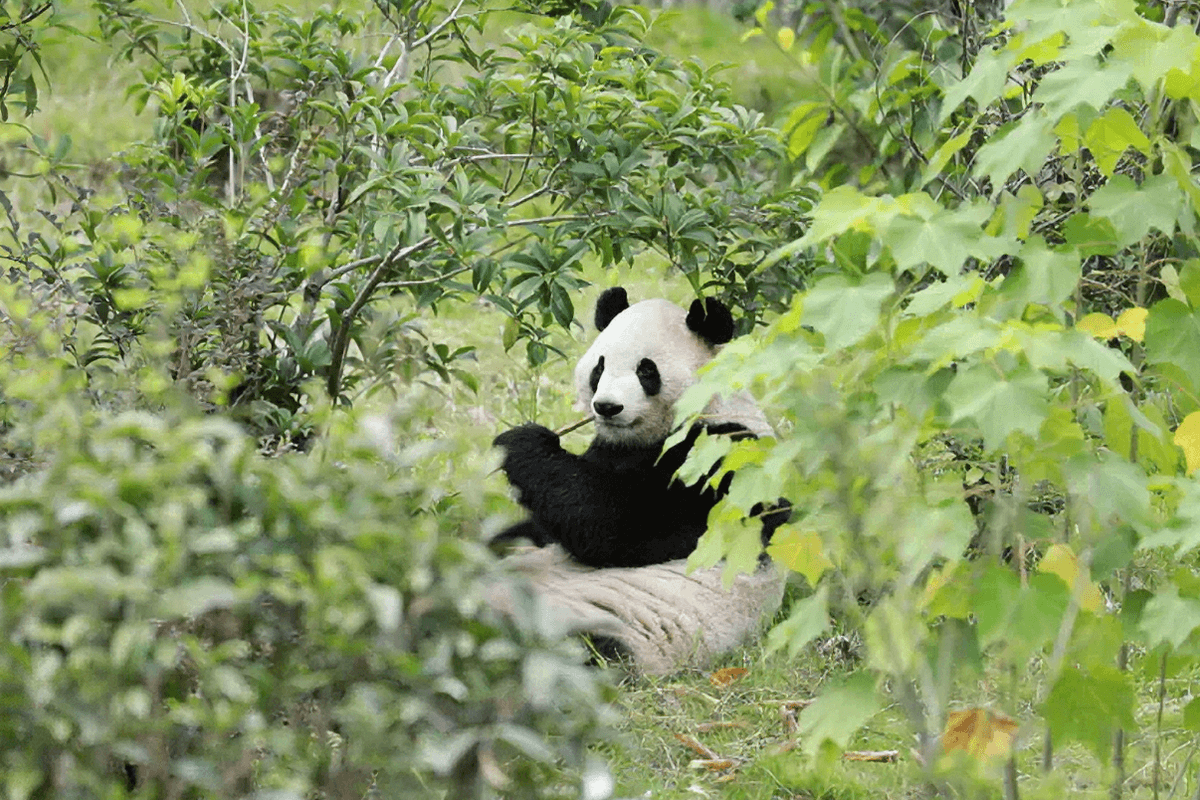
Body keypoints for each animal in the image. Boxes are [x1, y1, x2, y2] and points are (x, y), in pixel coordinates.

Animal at [492, 286, 789, 568]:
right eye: (599, 368)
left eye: (646, 371)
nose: (607, 407)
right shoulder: (609, 448)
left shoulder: (717, 455)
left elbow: (617, 523)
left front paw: (522, 442)